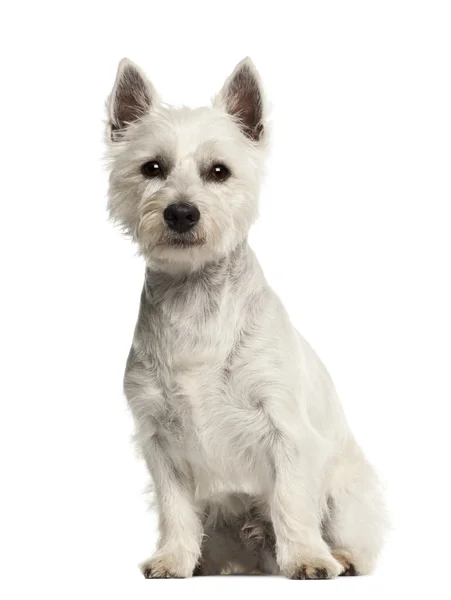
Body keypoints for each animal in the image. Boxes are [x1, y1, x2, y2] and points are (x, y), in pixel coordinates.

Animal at [106, 58, 388, 580]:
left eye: (219, 171)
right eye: (152, 167)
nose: (181, 213)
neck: (194, 299)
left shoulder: (287, 429)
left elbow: (291, 501)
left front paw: (306, 559)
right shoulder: (159, 438)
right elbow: (175, 508)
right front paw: (173, 560)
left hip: (347, 490)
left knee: (355, 536)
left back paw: (338, 557)